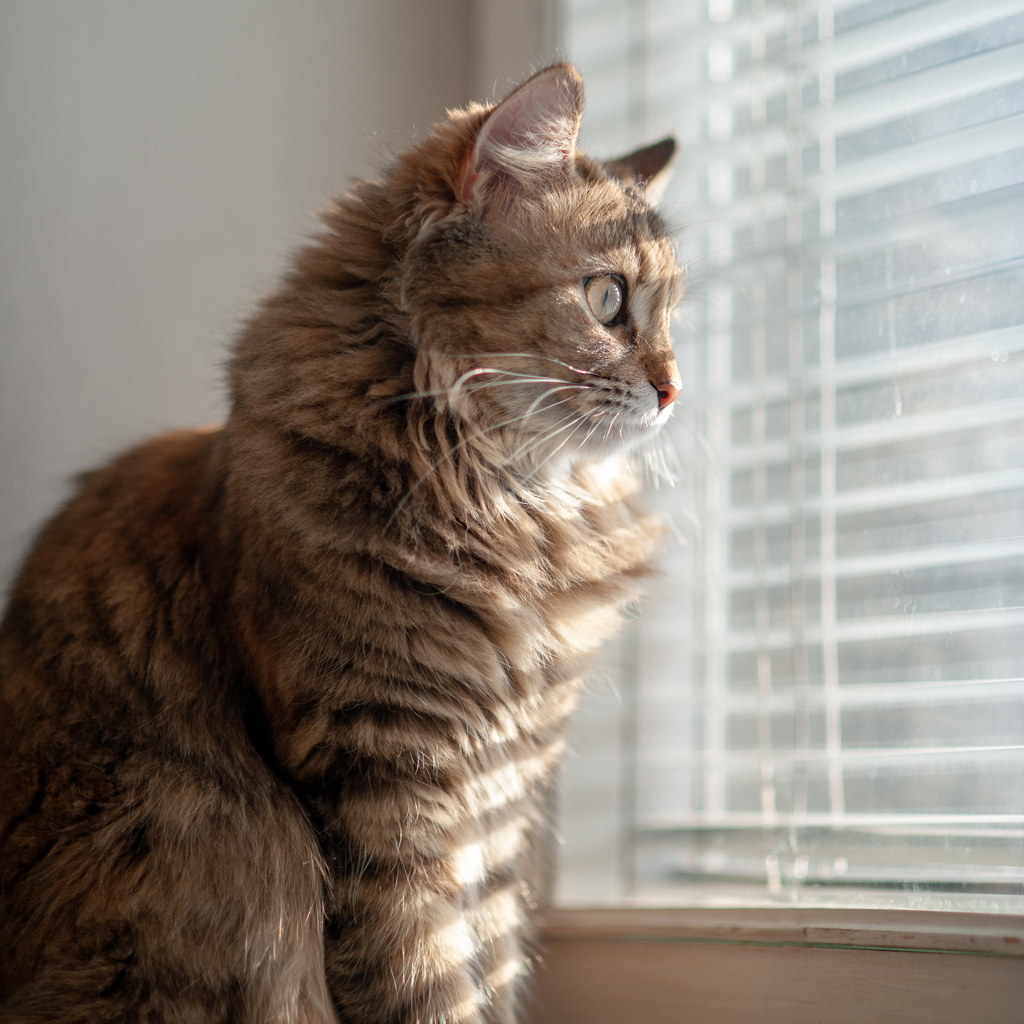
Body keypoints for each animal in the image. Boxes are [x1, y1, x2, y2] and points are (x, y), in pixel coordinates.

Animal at [4, 64, 684, 1024]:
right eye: (607, 298)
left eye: (671, 318)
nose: (673, 390)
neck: (505, 506)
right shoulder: (383, 774)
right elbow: (422, 984)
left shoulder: (502, 798)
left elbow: (490, 969)